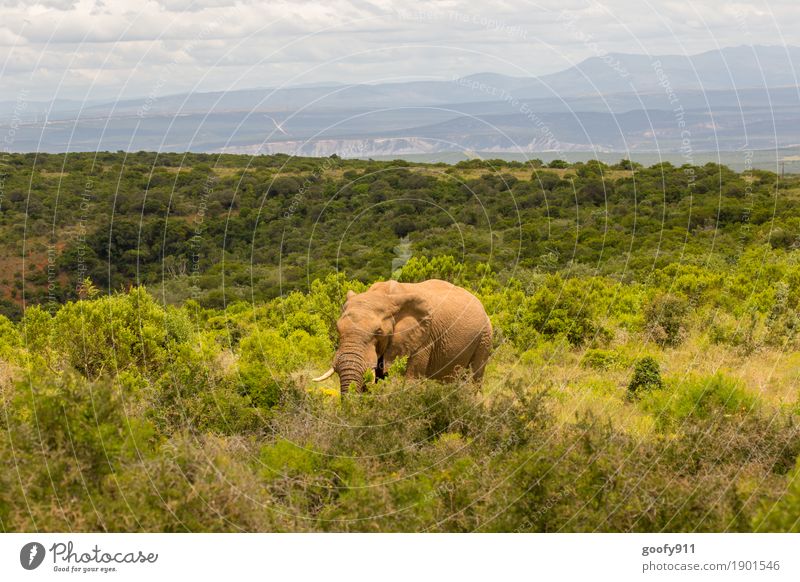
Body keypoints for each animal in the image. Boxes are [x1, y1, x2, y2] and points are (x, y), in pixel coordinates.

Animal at [314, 280, 494, 394]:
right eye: (338, 329)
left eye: (378, 332)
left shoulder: (423, 339)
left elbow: (410, 380)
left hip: (484, 338)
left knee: (473, 380)